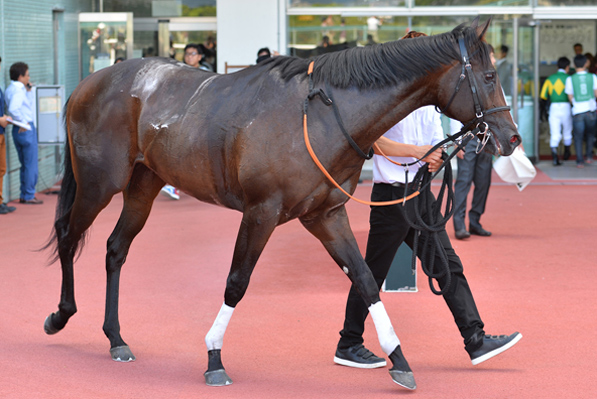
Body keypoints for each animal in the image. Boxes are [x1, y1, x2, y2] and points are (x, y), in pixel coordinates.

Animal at [44, 18, 516, 390]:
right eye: (490, 77)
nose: (511, 138)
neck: (322, 115)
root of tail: (87, 84)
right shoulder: (261, 211)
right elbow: (237, 281)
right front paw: (214, 357)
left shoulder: (325, 215)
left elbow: (365, 279)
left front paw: (399, 360)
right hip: (98, 184)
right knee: (68, 235)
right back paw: (61, 316)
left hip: (144, 186)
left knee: (115, 249)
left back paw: (116, 338)